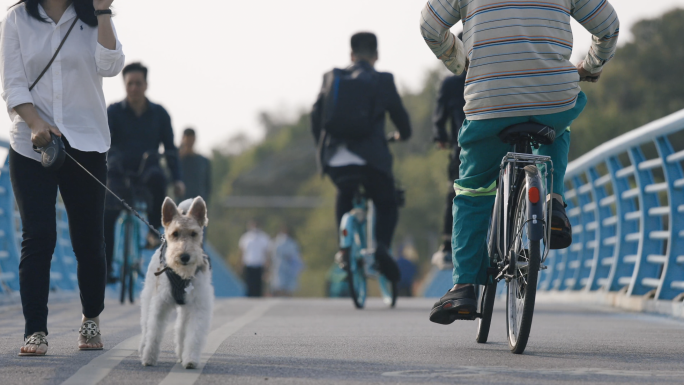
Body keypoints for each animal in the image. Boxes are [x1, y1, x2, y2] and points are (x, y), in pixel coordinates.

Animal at [139, 196, 214, 368]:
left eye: (194, 233)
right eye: (175, 233)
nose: (184, 256)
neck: (182, 275)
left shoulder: (198, 305)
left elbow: (193, 335)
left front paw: (191, 359)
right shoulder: (160, 303)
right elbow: (154, 331)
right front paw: (149, 358)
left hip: (186, 308)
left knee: (181, 329)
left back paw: (181, 354)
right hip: (148, 296)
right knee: (145, 326)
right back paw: (143, 348)